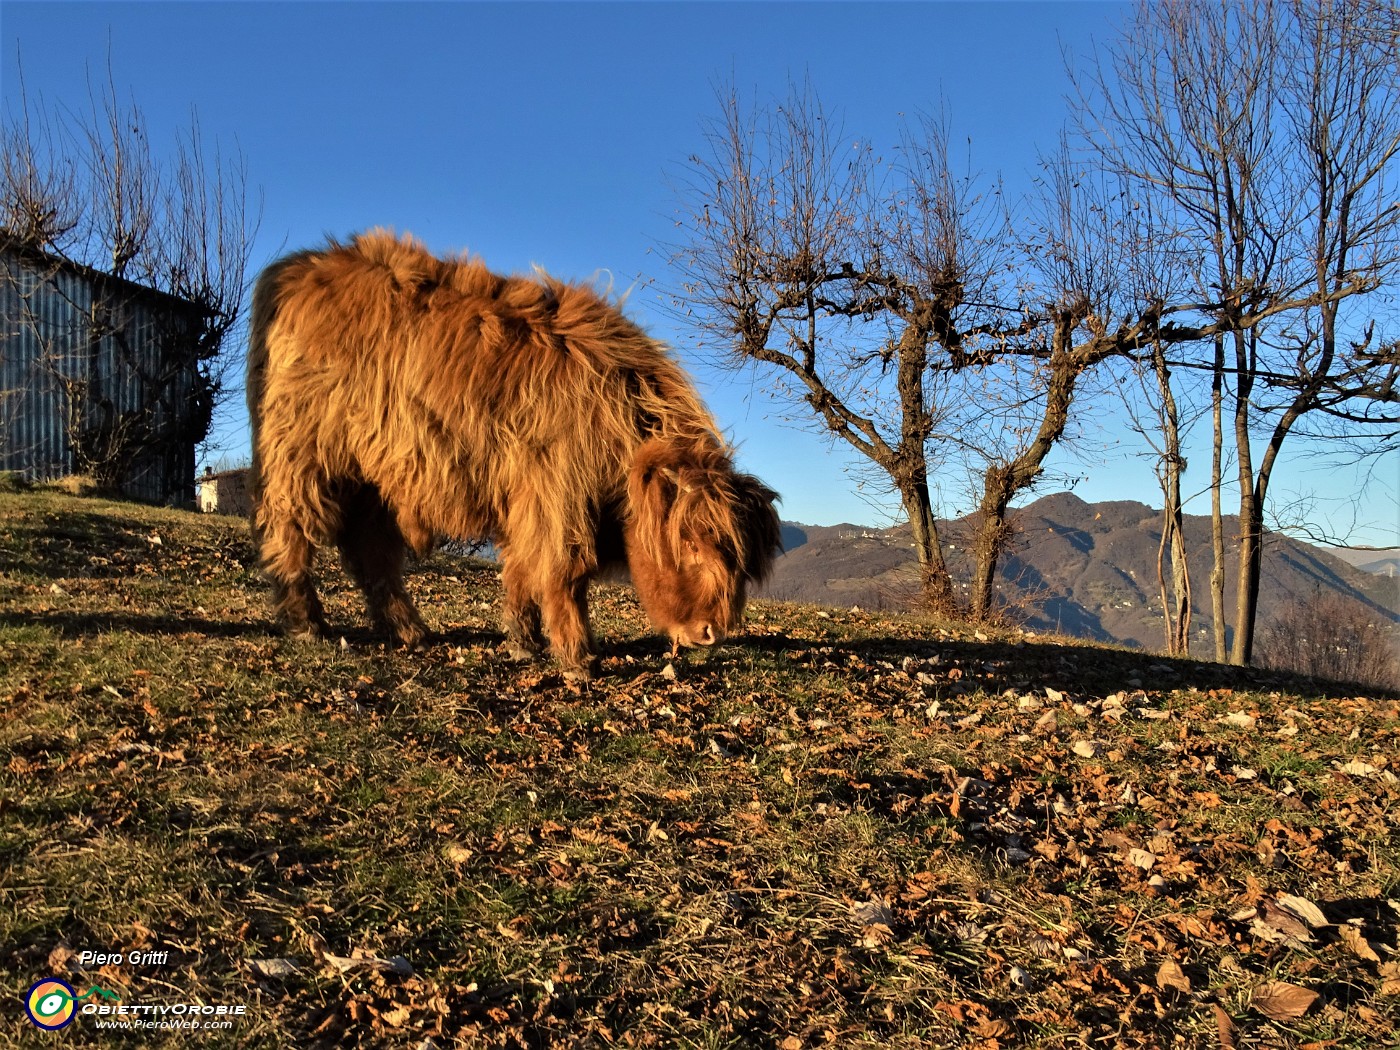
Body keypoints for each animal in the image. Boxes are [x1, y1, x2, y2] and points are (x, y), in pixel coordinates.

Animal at [247, 229, 784, 683]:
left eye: (738, 558)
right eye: (690, 545)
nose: (711, 632)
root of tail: (299, 268)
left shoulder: (527, 500)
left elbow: (523, 570)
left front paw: (525, 643)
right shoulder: (559, 499)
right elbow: (566, 574)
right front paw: (578, 658)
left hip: (374, 478)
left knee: (370, 550)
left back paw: (409, 630)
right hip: (303, 454)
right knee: (291, 528)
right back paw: (307, 624)